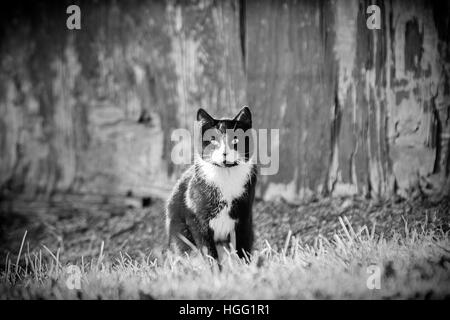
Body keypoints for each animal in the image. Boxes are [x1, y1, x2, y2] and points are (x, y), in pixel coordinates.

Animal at [165, 106, 256, 262]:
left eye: (236, 138)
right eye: (213, 141)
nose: (225, 153)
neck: (226, 176)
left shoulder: (244, 217)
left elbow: (243, 248)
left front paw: (245, 267)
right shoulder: (197, 220)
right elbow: (208, 251)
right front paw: (213, 268)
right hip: (179, 234)